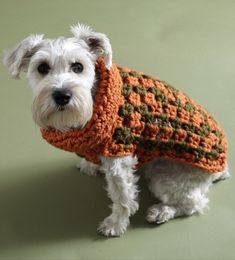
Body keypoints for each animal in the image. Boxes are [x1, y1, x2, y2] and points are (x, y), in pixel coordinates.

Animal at [4, 24, 229, 238]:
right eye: (42, 67)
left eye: (78, 66)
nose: (62, 95)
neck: (93, 99)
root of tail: (221, 164)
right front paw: (90, 165)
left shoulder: (118, 160)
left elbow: (123, 198)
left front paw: (115, 224)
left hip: (164, 177)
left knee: (194, 204)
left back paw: (162, 211)